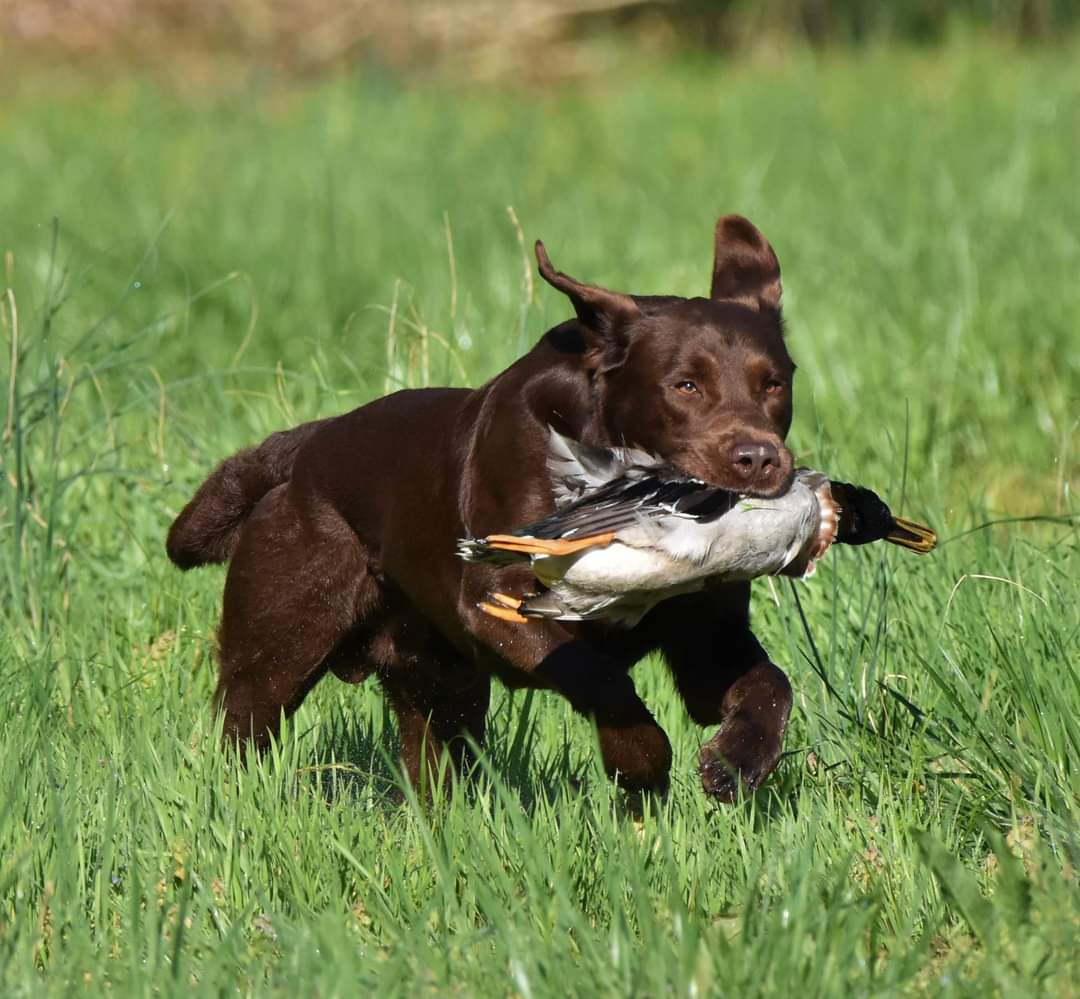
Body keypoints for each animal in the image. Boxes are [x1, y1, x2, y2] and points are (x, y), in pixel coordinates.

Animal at [166, 216, 794, 803]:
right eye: (685, 385)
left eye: (775, 385)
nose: (760, 459)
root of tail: (304, 447)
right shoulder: (499, 603)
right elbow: (600, 677)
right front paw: (641, 763)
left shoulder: (707, 636)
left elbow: (771, 685)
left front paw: (735, 763)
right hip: (281, 641)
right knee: (245, 725)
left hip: (437, 683)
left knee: (432, 764)